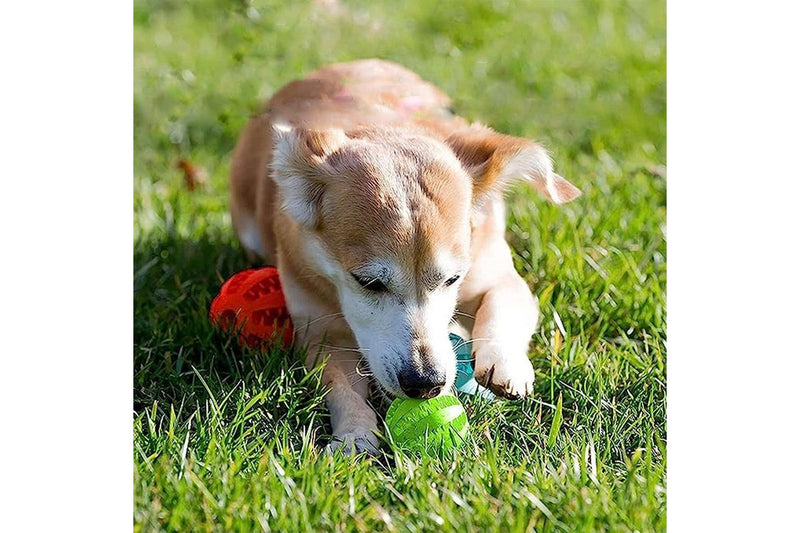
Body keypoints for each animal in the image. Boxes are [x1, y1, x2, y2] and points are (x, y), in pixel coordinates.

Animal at [228, 59, 580, 454]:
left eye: (453, 279)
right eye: (368, 282)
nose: (426, 383)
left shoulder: (497, 274)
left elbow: (503, 303)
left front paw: (505, 365)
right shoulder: (322, 333)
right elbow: (339, 385)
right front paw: (354, 433)